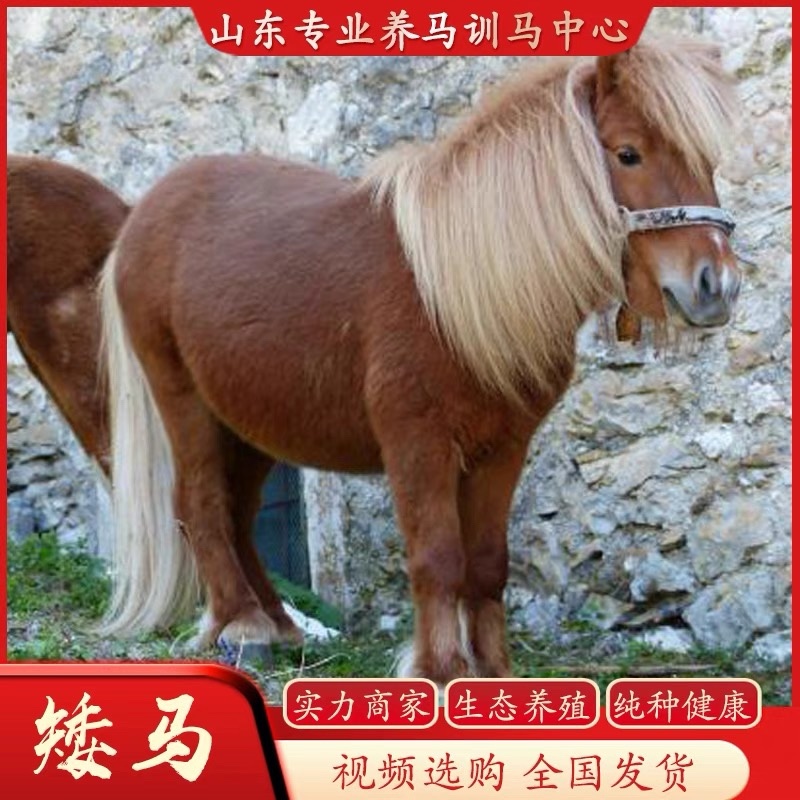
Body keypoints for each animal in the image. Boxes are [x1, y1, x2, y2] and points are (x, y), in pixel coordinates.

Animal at [99, 40, 741, 685]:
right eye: (628, 153)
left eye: (708, 159)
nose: (717, 286)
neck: (453, 294)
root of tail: (141, 216)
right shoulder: (418, 444)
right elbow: (438, 558)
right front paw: (439, 668)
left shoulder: (502, 449)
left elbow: (486, 563)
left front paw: (492, 672)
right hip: (184, 400)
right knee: (202, 506)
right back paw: (242, 625)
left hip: (250, 420)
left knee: (239, 513)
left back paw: (278, 625)